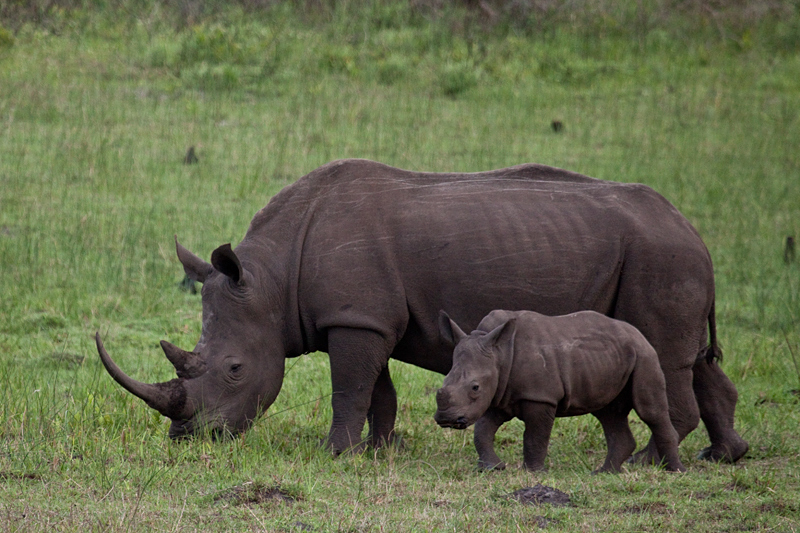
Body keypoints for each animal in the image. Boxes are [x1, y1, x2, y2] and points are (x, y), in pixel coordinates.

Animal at [438, 310, 688, 472]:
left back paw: (675, 471)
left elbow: (535, 436)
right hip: (613, 357)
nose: (445, 419)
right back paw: (604, 472)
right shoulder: (499, 394)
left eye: (475, 387)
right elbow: (482, 430)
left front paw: (533, 473)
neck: (500, 353)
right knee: (609, 414)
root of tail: (639, 335)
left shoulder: (540, 397)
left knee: (650, 411)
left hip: (645, 356)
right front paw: (492, 468)